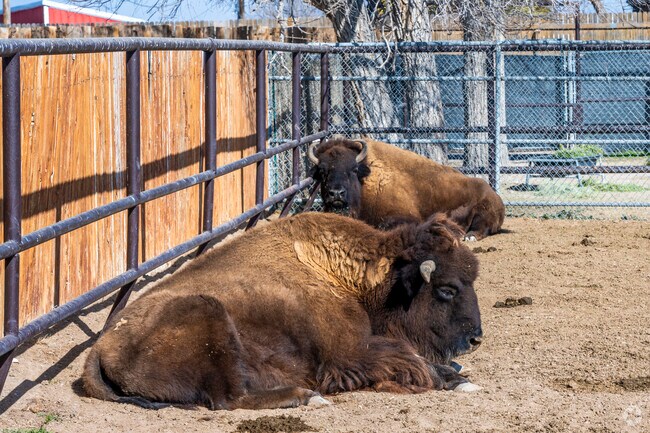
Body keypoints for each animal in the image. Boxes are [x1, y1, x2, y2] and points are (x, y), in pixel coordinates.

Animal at [82, 212, 482, 410]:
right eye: (447, 289)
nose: (475, 339)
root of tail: (100, 347)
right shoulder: (350, 353)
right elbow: (413, 362)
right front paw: (455, 381)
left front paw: (460, 377)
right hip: (208, 315)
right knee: (229, 400)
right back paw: (306, 397)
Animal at [309, 138, 505, 240]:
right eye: (322, 171)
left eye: (353, 169)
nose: (336, 194)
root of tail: (494, 194)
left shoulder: (406, 217)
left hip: (483, 214)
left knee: (482, 228)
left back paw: (469, 236)